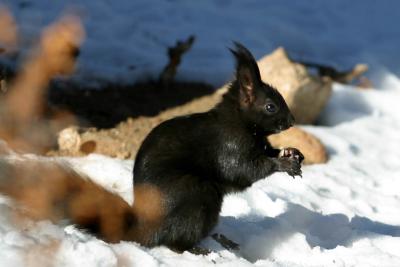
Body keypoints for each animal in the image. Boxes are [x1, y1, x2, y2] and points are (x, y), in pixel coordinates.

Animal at [0, 43, 302, 252]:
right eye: (270, 106)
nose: (292, 121)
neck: (241, 122)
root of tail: (145, 228)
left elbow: (264, 154)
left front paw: (292, 154)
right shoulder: (229, 144)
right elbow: (243, 170)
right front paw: (283, 163)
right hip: (195, 194)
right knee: (173, 240)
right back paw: (197, 249)